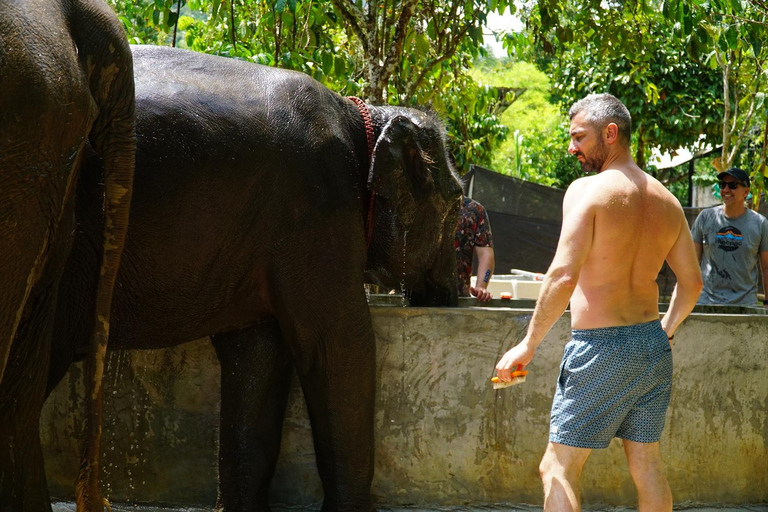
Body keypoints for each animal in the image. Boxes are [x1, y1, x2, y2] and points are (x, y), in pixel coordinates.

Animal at [42, 45, 463, 511]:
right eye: (458, 201)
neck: (360, 116)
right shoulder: (320, 211)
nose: (454, 293)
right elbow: (338, 346)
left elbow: (257, 354)